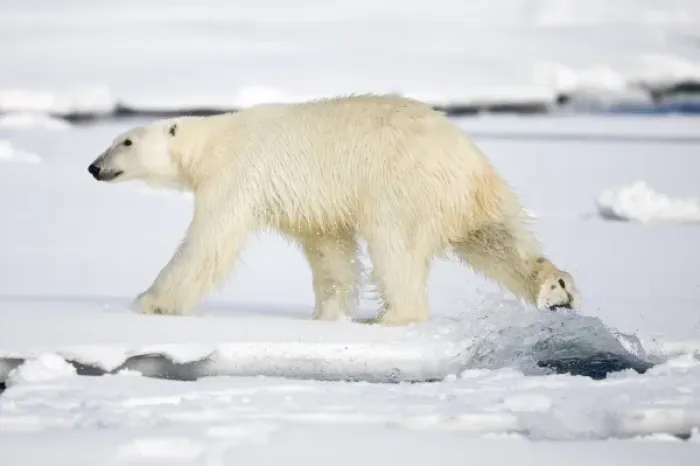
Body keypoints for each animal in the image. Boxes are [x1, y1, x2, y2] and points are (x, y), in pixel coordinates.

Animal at [87, 94, 579, 325]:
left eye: (125, 141)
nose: (94, 166)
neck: (210, 143)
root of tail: (468, 157)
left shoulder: (236, 175)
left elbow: (210, 241)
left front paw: (149, 302)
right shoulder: (315, 206)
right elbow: (330, 250)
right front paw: (327, 315)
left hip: (403, 183)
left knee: (395, 244)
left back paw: (392, 315)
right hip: (470, 195)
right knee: (496, 238)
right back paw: (555, 289)